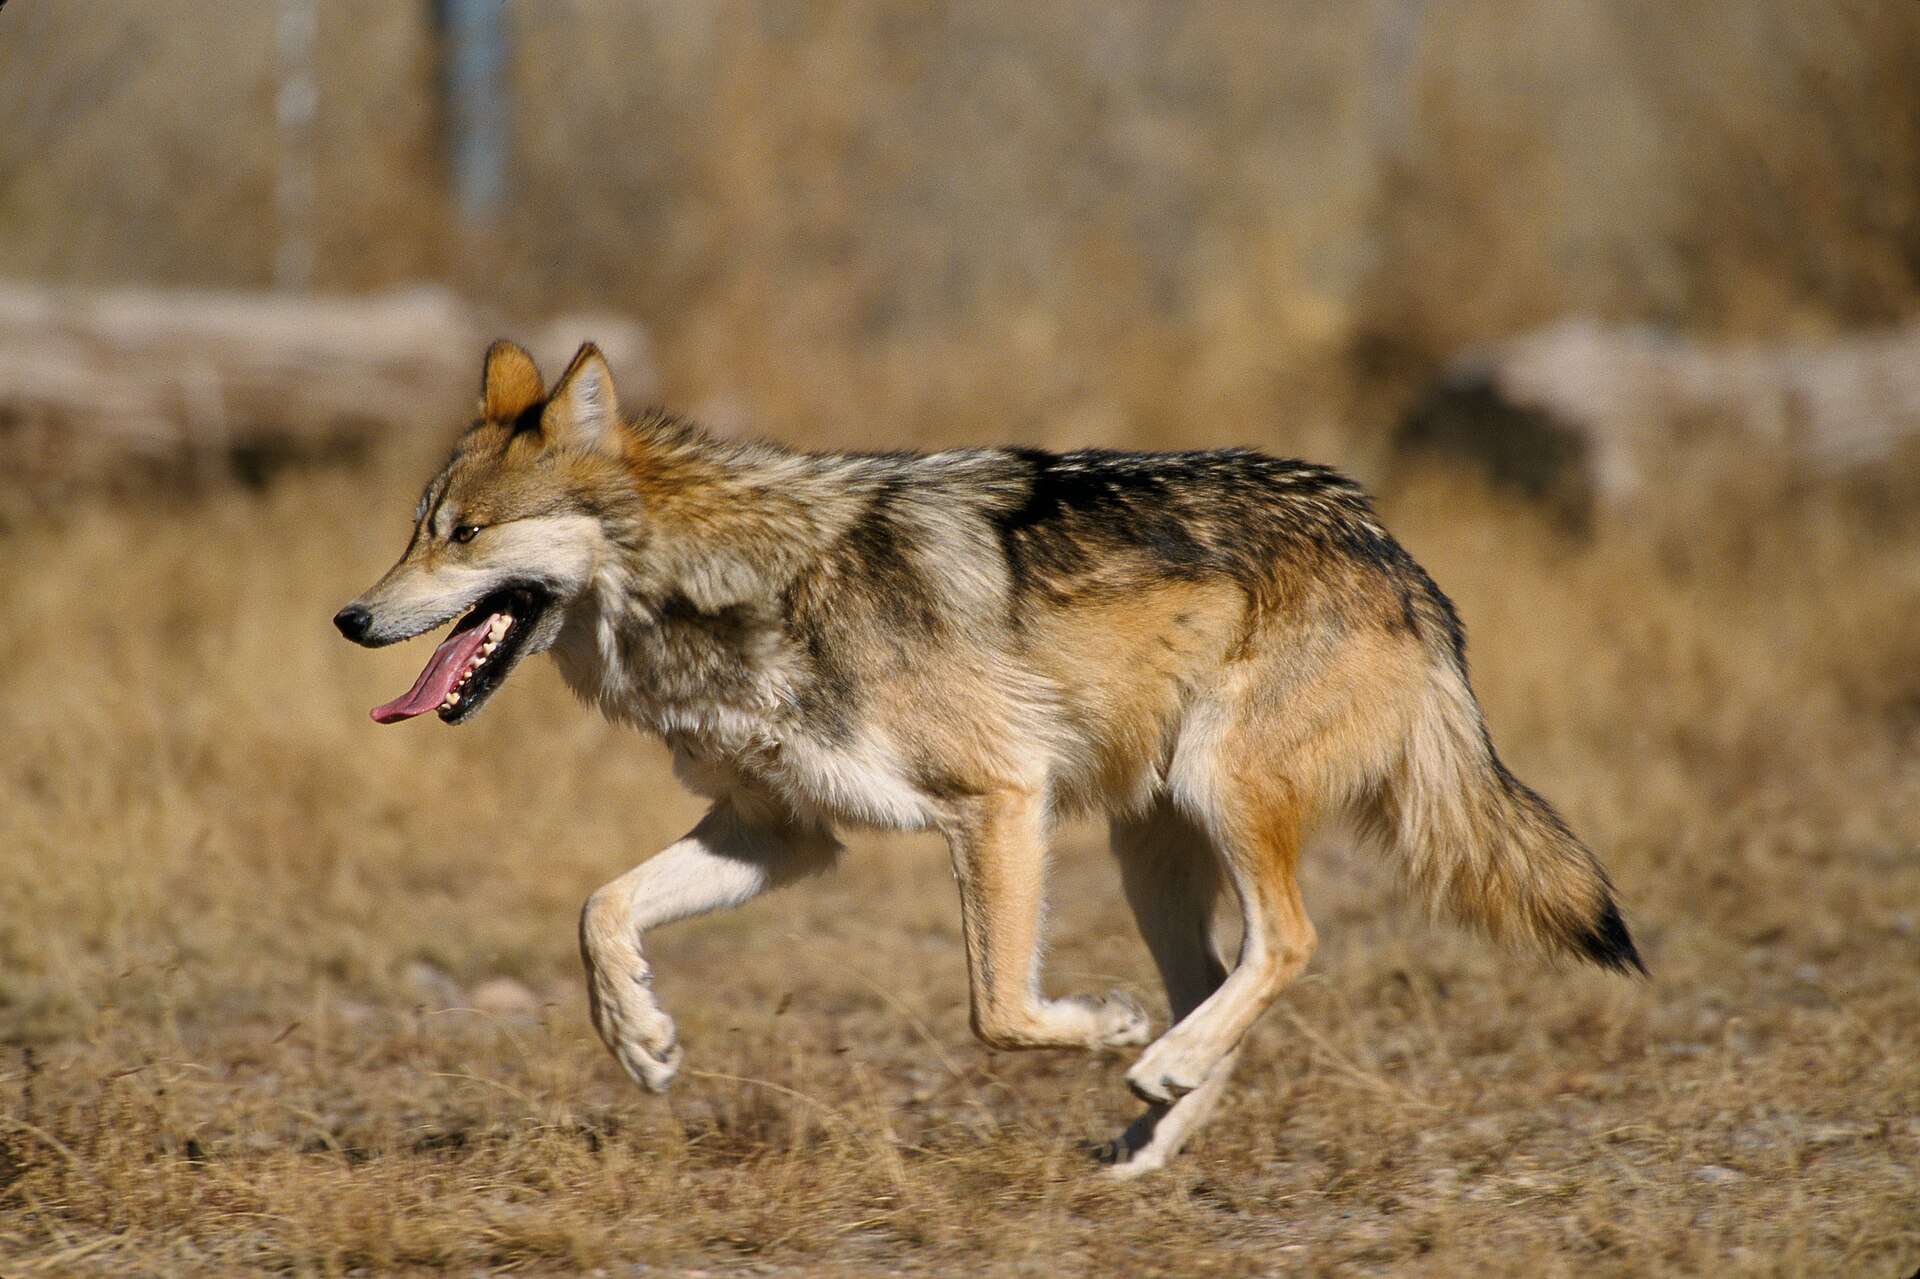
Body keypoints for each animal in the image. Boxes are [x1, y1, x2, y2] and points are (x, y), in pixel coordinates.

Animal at [335, 341, 1643, 1175]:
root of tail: (1390, 547)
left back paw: (1152, 1062)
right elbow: (600, 910)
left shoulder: (999, 799)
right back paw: (1150, 1131)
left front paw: (1102, 1026)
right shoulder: (782, 834)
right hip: (1149, 849)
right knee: (1223, 978)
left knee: (1287, 944)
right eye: (413, 530)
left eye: (465, 535)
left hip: (1214, 795)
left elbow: (999, 1011)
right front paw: (641, 1040)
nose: (349, 617)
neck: (729, 586)